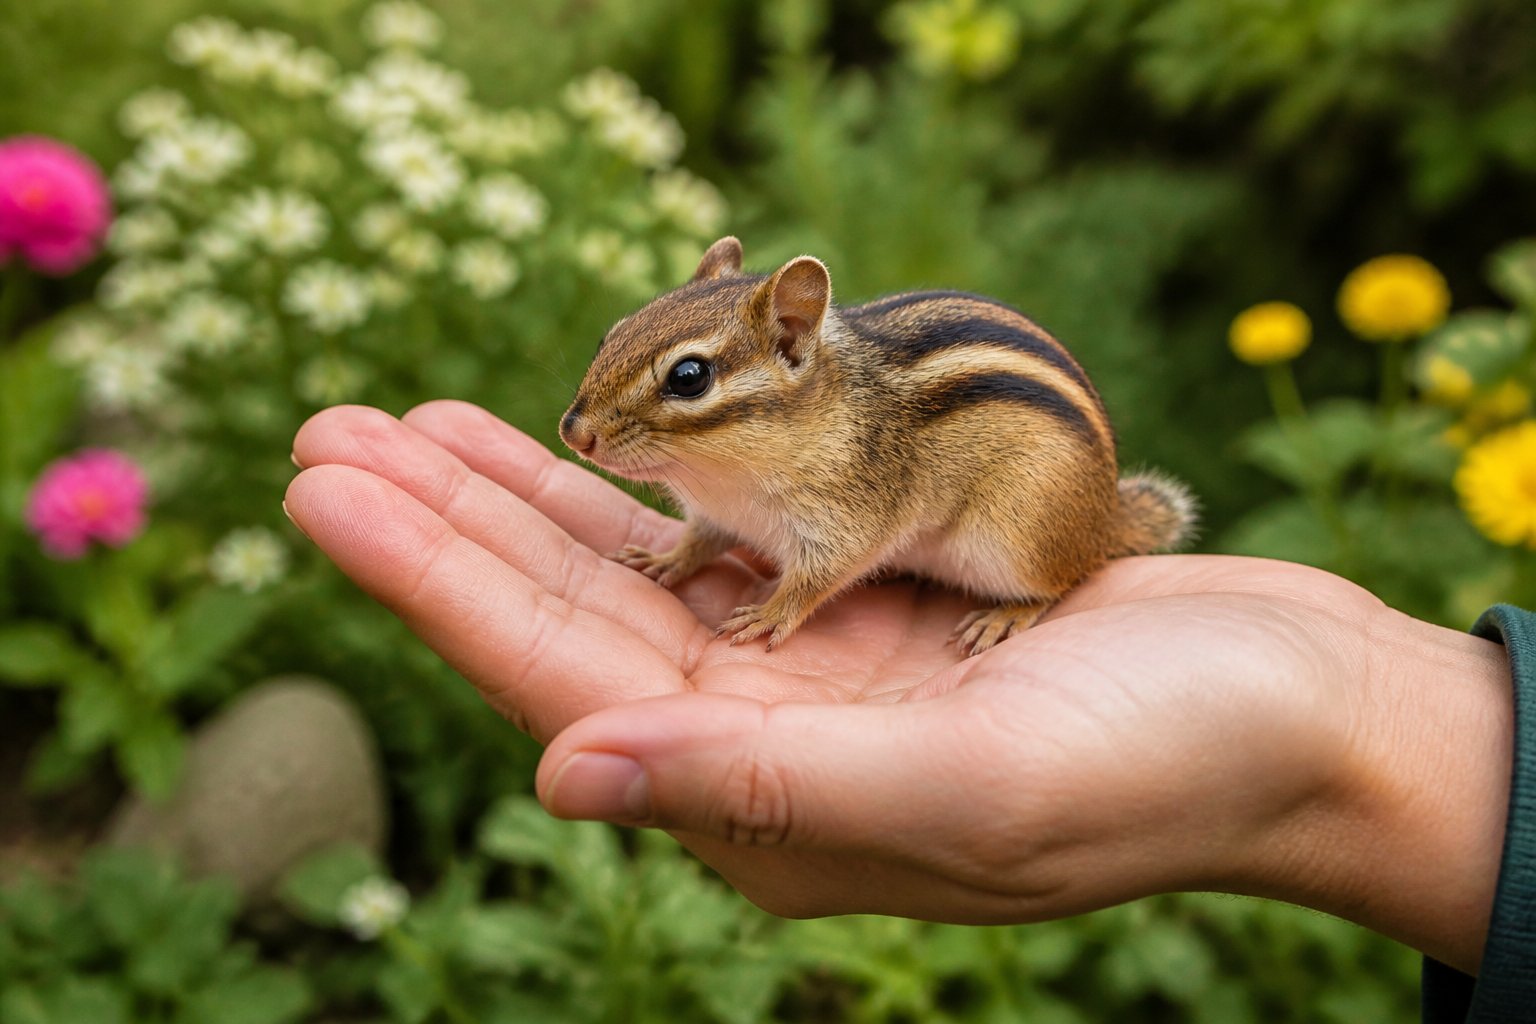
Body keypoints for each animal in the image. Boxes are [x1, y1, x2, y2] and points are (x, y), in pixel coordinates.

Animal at [559, 236, 1196, 656]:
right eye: (612, 332)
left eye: (689, 376)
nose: (572, 431)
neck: (728, 477)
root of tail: (1103, 519)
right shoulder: (719, 514)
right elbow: (700, 541)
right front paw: (664, 558)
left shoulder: (850, 518)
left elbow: (818, 577)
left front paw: (769, 613)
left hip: (1018, 534)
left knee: (1062, 581)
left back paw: (1006, 615)